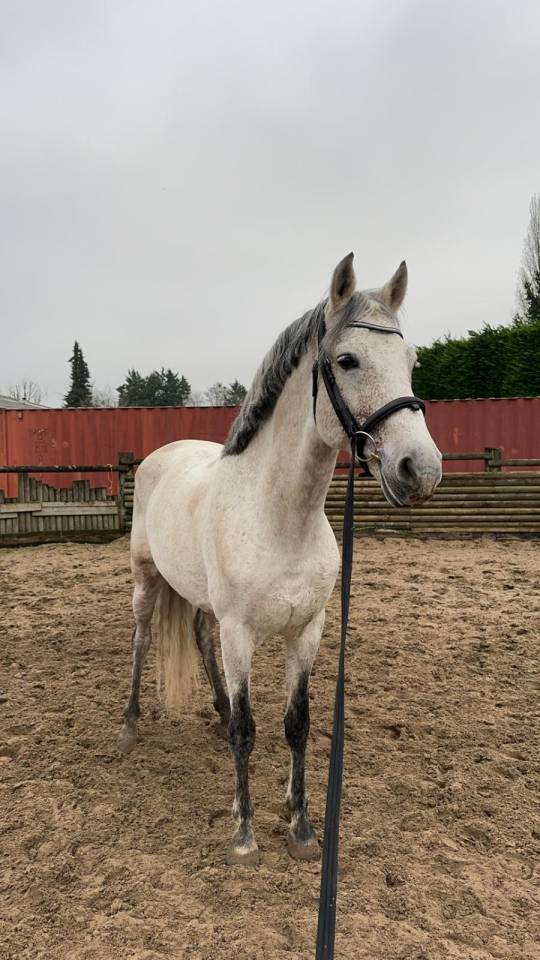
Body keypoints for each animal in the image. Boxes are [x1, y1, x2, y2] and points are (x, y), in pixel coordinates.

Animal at [118, 252, 442, 866]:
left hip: (201, 602)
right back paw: (128, 727)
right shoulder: (241, 633)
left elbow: (298, 723)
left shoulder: (307, 631)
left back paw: (215, 713)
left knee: (199, 639)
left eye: (411, 360)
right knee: (143, 640)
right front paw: (243, 834)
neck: (280, 520)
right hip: (147, 582)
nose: (421, 469)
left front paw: (302, 826)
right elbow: (248, 730)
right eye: (347, 360)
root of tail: (160, 456)